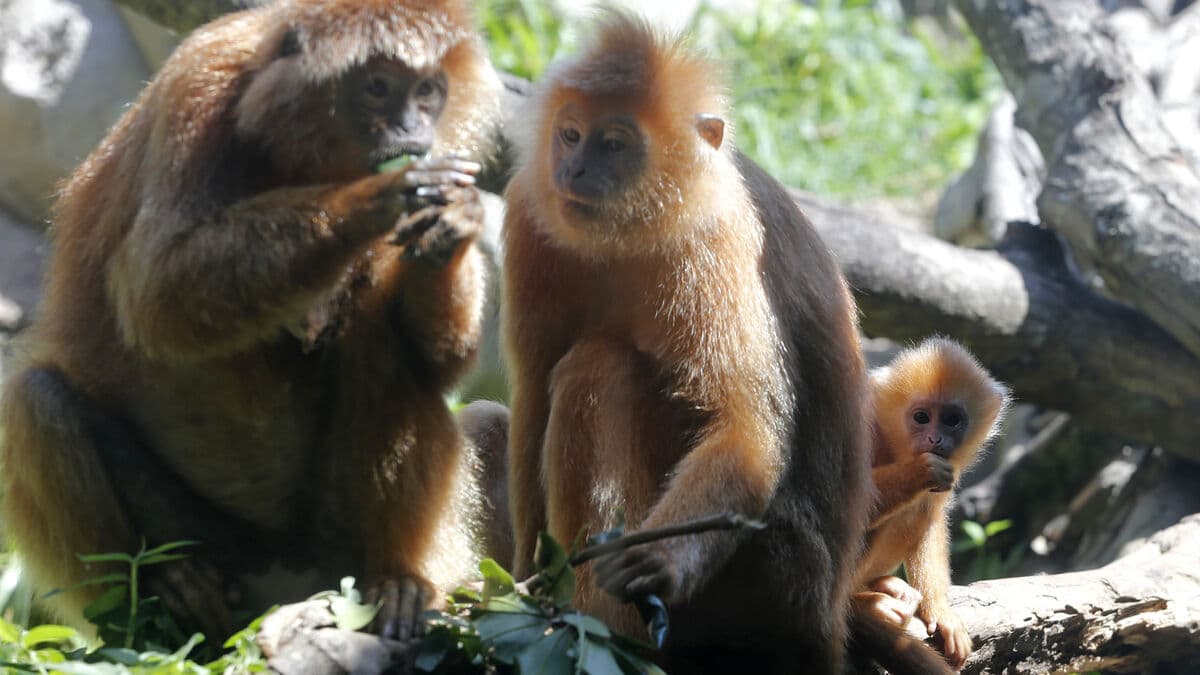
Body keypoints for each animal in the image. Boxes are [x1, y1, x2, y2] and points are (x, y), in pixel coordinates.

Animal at [0, 0, 500, 643]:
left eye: (428, 91)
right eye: (378, 87)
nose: (413, 130)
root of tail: (283, 583)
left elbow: (442, 360)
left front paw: (456, 219)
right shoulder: (199, 87)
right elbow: (156, 292)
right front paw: (379, 193)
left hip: (335, 549)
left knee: (385, 347)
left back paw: (397, 583)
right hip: (206, 540)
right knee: (35, 401)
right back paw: (160, 597)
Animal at [500, 11, 873, 672]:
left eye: (614, 144)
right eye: (570, 135)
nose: (574, 170)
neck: (625, 236)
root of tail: (828, 620)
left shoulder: (714, 233)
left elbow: (745, 426)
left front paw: (661, 563)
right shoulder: (530, 213)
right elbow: (532, 398)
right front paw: (521, 586)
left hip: (779, 575)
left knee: (600, 364)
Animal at [852, 337, 1011, 671]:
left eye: (951, 420)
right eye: (921, 417)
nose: (935, 439)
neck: (892, 444)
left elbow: (933, 517)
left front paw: (939, 610)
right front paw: (917, 472)